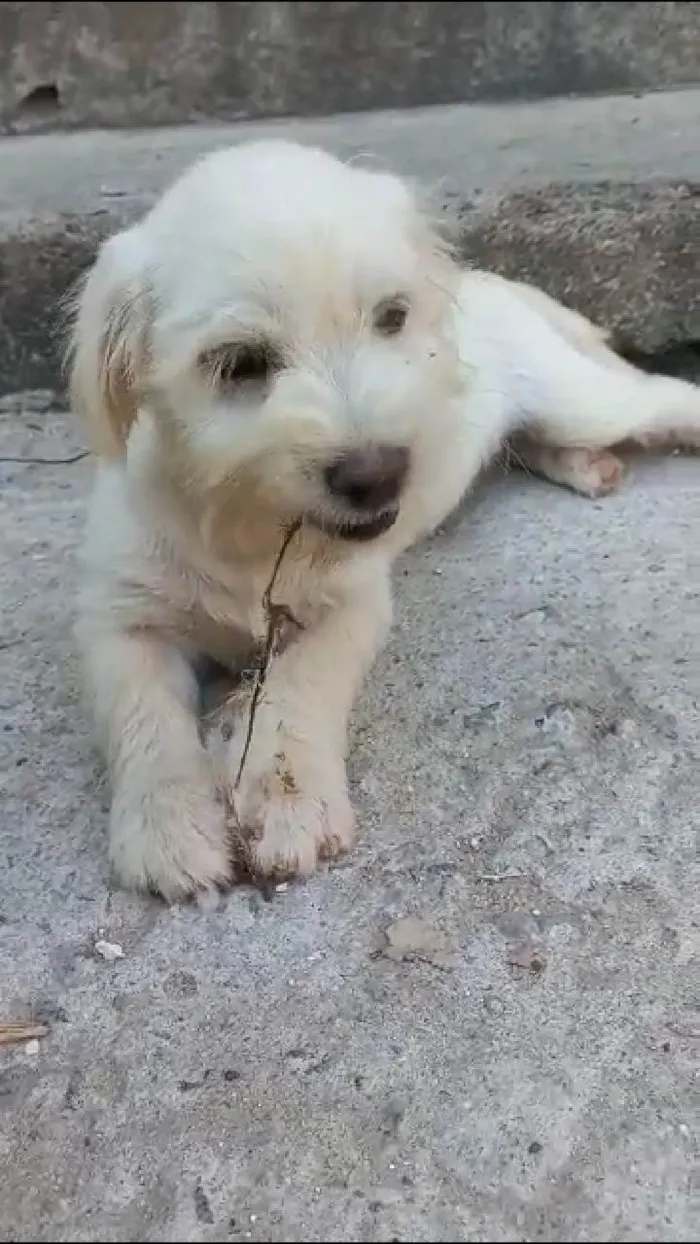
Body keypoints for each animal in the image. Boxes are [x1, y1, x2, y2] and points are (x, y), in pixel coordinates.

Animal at [67, 136, 700, 900]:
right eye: (240, 363)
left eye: (392, 316)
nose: (378, 474)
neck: (249, 527)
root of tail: (489, 281)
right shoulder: (120, 617)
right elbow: (143, 713)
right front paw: (168, 823)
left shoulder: (353, 606)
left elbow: (301, 684)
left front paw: (288, 800)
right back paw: (582, 466)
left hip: (583, 398)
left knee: (665, 396)